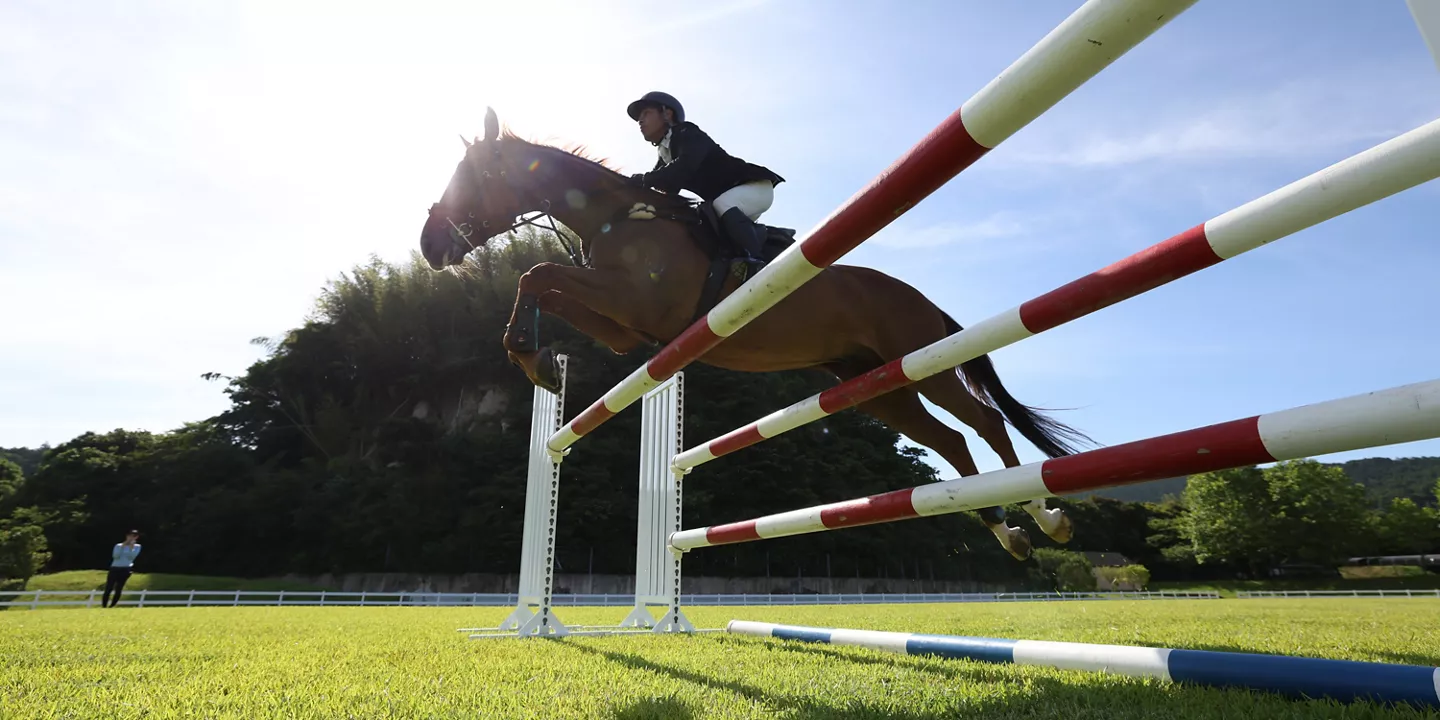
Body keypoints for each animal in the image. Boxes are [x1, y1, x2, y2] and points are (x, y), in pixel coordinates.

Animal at [417, 108, 1088, 561]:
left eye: (471, 176)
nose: (429, 246)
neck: (616, 217)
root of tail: (919, 296)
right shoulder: (627, 330)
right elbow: (545, 282)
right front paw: (536, 358)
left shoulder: (637, 302)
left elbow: (538, 272)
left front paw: (528, 355)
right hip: (875, 383)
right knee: (949, 439)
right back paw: (1009, 532)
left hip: (921, 358)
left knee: (984, 423)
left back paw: (1046, 516)